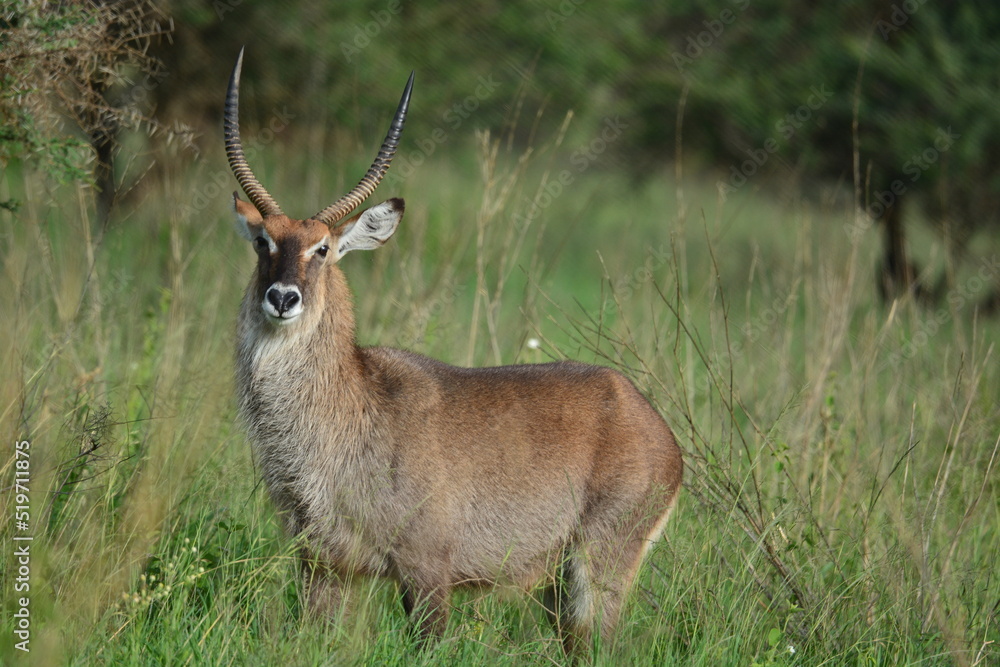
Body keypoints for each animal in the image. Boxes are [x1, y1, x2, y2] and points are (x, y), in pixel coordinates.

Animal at [225, 48, 683, 655]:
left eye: (322, 248)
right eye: (263, 242)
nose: (282, 298)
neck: (351, 405)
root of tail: (653, 421)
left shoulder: (426, 570)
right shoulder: (322, 564)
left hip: (599, 568)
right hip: (558, 585)